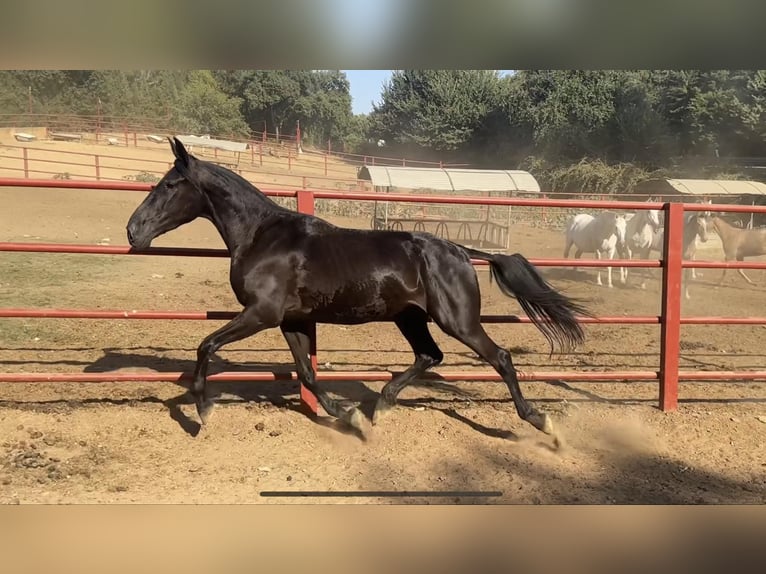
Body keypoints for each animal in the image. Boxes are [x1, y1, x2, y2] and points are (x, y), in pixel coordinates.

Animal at [127, 140, 592, 446]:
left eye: (169, 185)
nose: (133, 230)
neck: (262, 236)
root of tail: (461, 250)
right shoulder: (292, 320)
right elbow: (307, 373)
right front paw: (348, 418)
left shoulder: (263, 313)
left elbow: (206, 345)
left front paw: (201, 411)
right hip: (410, 317)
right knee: (430, 356)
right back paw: (380, 406)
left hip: (457, 319)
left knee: (500, 358)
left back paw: (541, 423)